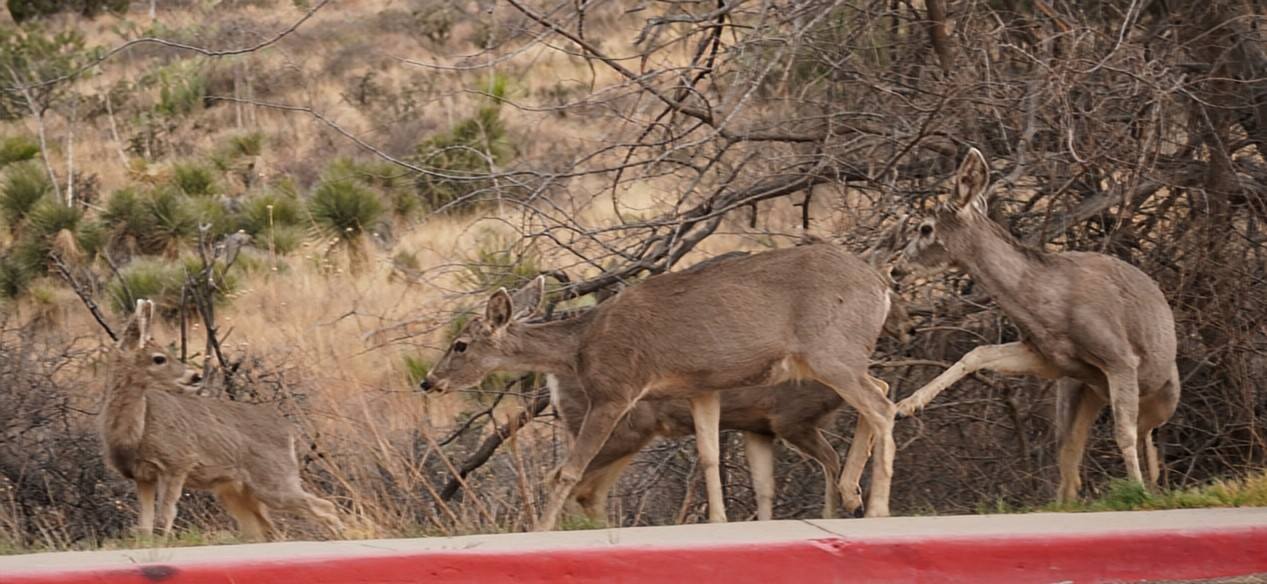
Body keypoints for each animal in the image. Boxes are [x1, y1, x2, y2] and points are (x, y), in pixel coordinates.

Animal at [101, 299, 344, 540]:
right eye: (159, 358)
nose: (195, 376)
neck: (136, 435)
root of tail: (289, 430)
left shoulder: (177, 462)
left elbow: (164, 519)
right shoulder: (141, 475)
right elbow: (144, 527)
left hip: (273, 479)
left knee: (324, 506)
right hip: (235, 491)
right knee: (268, 530)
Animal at [420, 243, 898, 531]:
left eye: (460, 344)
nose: (429, 381)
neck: (580, 346)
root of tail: (881, 285)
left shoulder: (615, 388)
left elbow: (567, 470)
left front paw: (539, 530)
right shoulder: (701, 385)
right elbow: (708, 455)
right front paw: (719, 522)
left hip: (828, 350)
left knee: (880, 404)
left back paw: (875, 506)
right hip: (833, 357)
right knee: (882, 387)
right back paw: (852, 494)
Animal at [896, 147, 1181, 503]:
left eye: (925, 228)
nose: (896, 268)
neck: (1053, 306)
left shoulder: (1119, 358)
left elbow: (1123, 433)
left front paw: (1136, 491)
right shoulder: (1048, 357)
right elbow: (977, 353)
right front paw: (905, 406)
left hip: (1163, 393)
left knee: (1142, 432)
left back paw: (1151, 487)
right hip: (1082, 390)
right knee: (1070, 455)